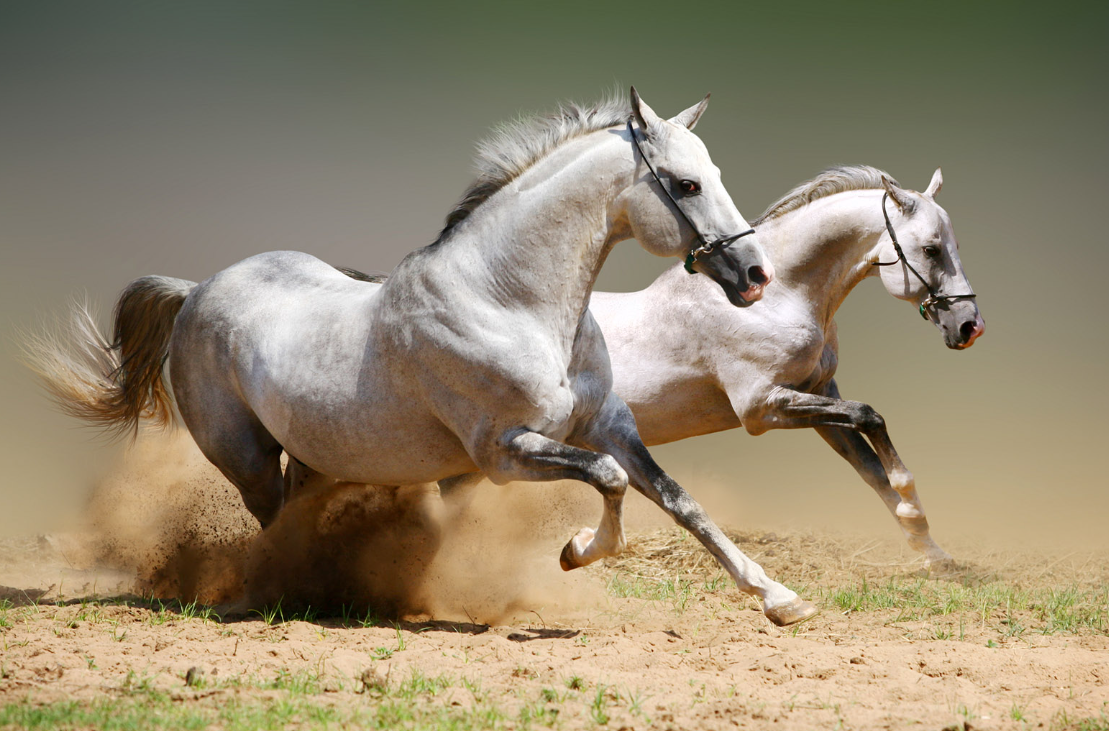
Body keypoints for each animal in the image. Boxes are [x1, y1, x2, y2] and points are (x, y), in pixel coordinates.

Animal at [30, 89, 820, 630]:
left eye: (711, 172)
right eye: (685, 184)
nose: (754, 274)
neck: (509, 301)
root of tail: (196, 290)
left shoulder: (608, 425)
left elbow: (679, 500)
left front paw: (780, 598)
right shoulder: (503, 452)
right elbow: (609, 481)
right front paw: (574, 550)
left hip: (316, 456)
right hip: (245, 456)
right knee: (272, 522)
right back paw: (284, 592)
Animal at [594, 166, 984, 565]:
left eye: (955, 246)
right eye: (931, 250)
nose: (970, 326)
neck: (776, 299)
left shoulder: (818, 395)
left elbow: (871, 468)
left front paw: (932, 551)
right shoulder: (761, 408)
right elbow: (870, 416)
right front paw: (911, 505)